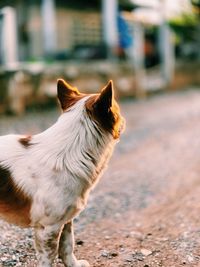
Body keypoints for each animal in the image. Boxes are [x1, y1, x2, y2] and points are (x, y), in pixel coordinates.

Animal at [0, 79, 125, 267]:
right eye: (117, 110)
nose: (124, 120)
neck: (68, 155)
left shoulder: (65, 220)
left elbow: (67, 245)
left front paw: (73, 264)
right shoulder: (47, 229)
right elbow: (49, 258)